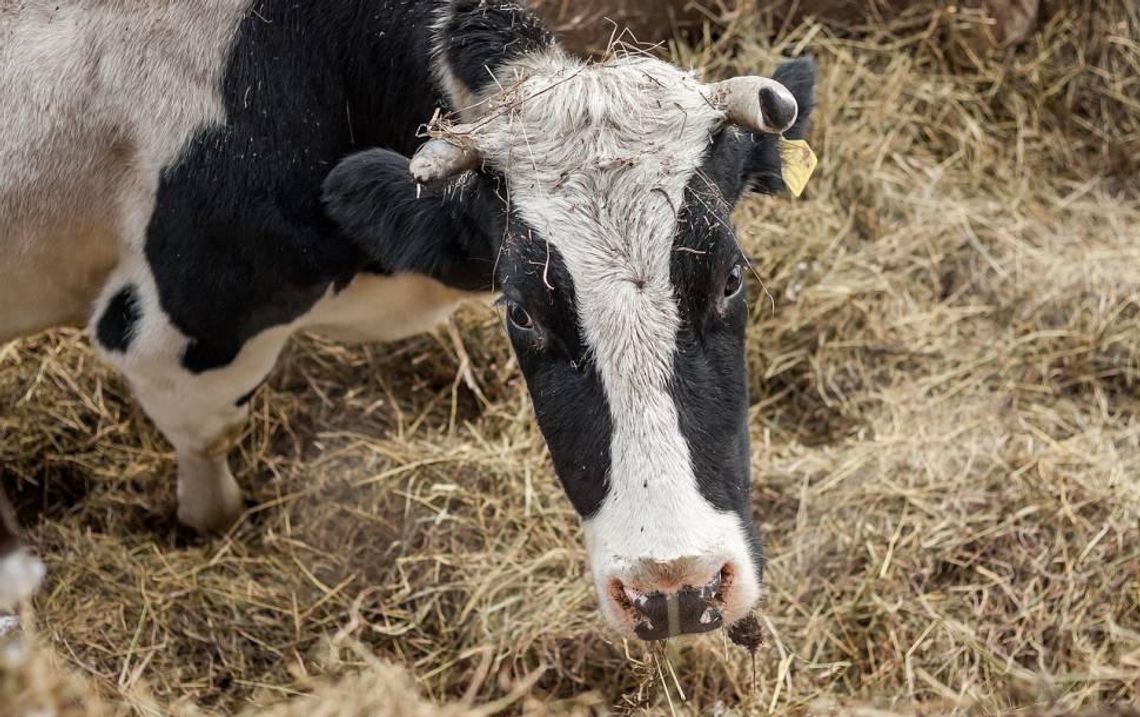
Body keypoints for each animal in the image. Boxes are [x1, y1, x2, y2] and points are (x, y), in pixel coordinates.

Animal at [4, 0, 816, 638]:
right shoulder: (175, 332)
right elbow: (209, 447)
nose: (675, 590)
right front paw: (209, 524)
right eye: (520, 311)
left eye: (731, 278)